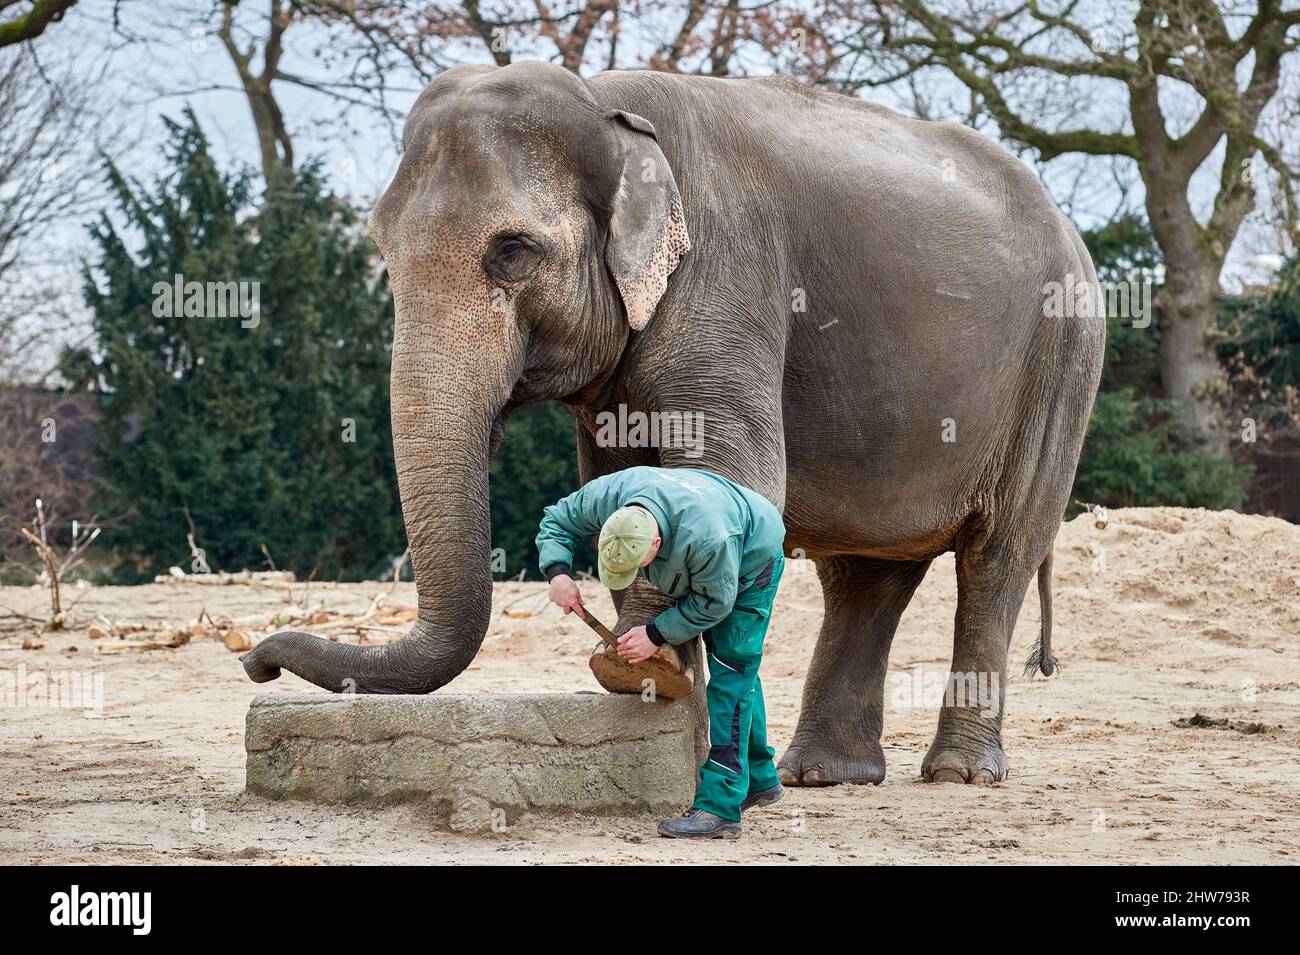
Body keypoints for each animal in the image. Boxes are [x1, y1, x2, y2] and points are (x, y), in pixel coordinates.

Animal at [239, 61, 1102, 789]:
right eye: (381, 249)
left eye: (511, 251)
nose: (256, 661)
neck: (608, 108)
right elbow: (615, 484)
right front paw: (652, 680)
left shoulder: (729, 275)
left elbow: (735, 477)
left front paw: (640, 668)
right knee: (866, 575)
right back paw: (820, 775)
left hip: (1060, 369)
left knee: (999, 555)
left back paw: (957, 773)